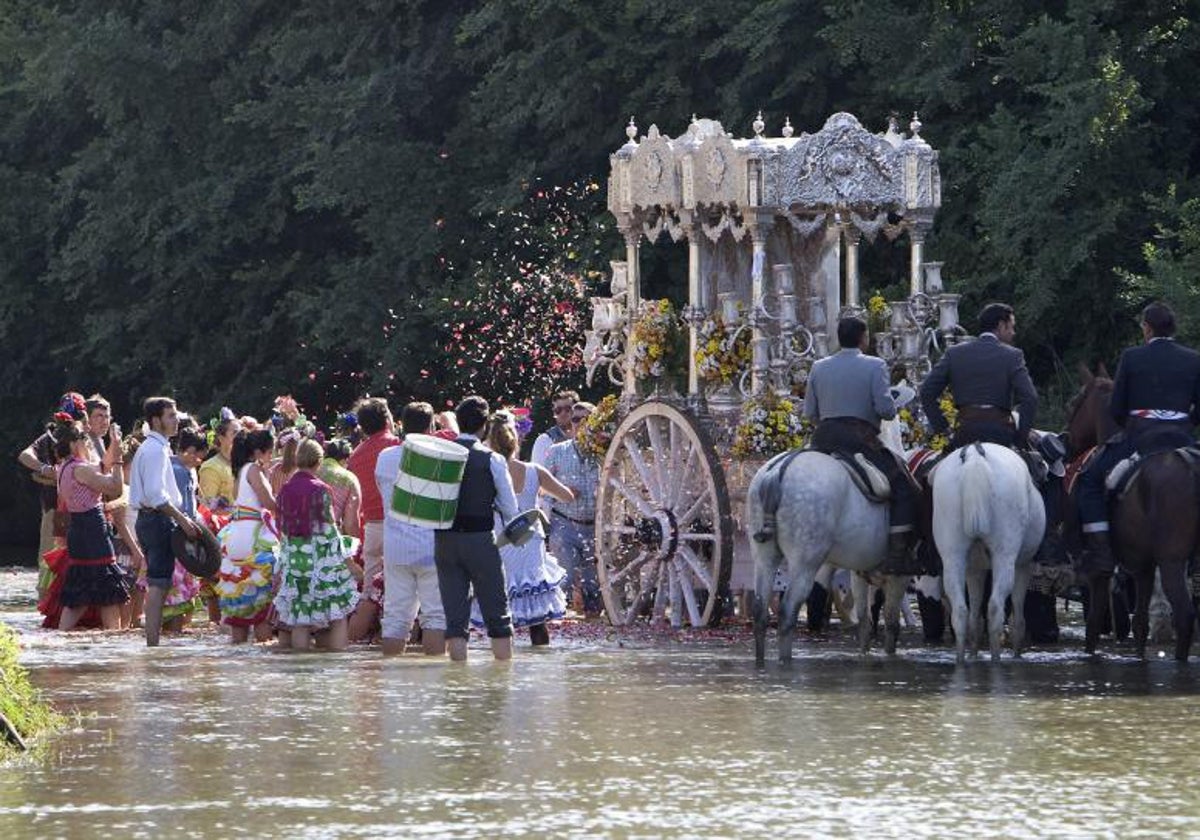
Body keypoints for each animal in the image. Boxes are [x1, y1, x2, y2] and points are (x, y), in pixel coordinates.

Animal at [744, 420, 902, 662]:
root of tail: (778, 473)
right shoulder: (898, 576)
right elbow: (891, 624)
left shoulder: (861, 571)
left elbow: (865, 621)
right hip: (805, 563)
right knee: (788, 612)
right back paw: (786, 660)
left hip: (764, 558)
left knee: (760, 610)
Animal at [931, 444, 1046, 667]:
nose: (1043, 465)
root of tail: (975, 457)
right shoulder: (1024, 565)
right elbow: (1018, 616)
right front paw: (1017, 653)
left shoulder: (974, 569)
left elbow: (974, 614)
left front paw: (974, 653)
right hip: (1005, 553)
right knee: (995, 608)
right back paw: (996, 659)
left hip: (952, 553)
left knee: (960, 610)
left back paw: (961, 659)